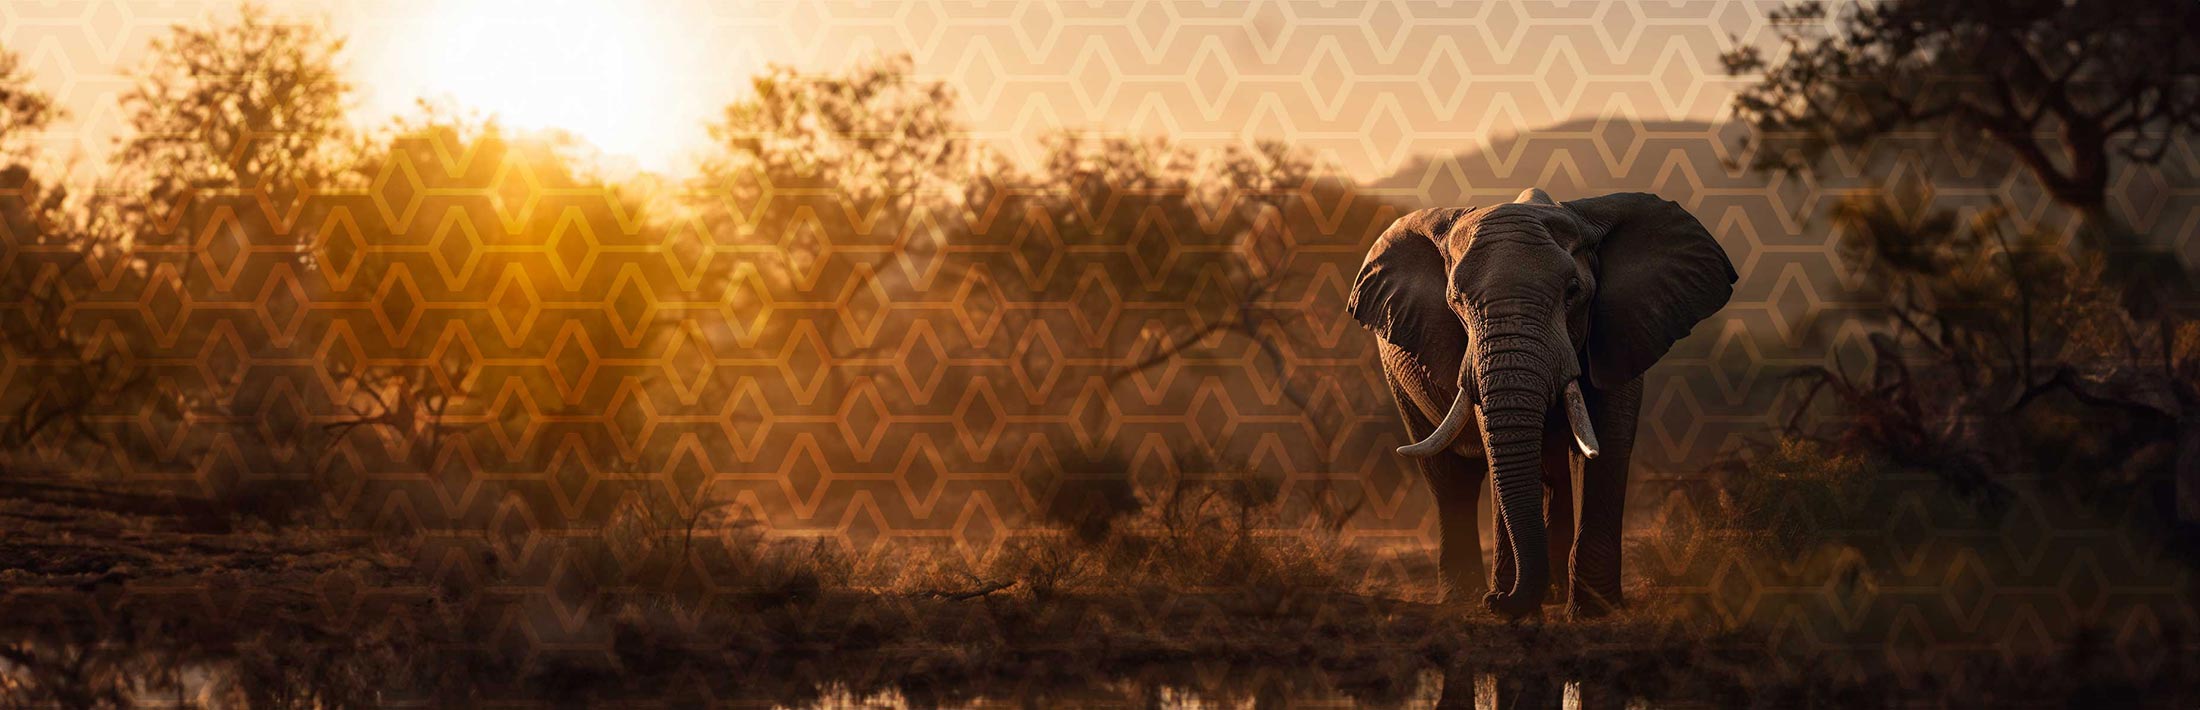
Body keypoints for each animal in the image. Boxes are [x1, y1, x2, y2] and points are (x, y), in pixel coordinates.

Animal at [1350, 188, 1735, 618]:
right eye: (1455, 301)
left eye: (1573, 292)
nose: (1496, 602)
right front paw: (1511, 602)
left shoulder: (1620, 329)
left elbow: (1608, 442)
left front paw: (1593, 611)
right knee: (1451, 478)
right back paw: (1463, 595)